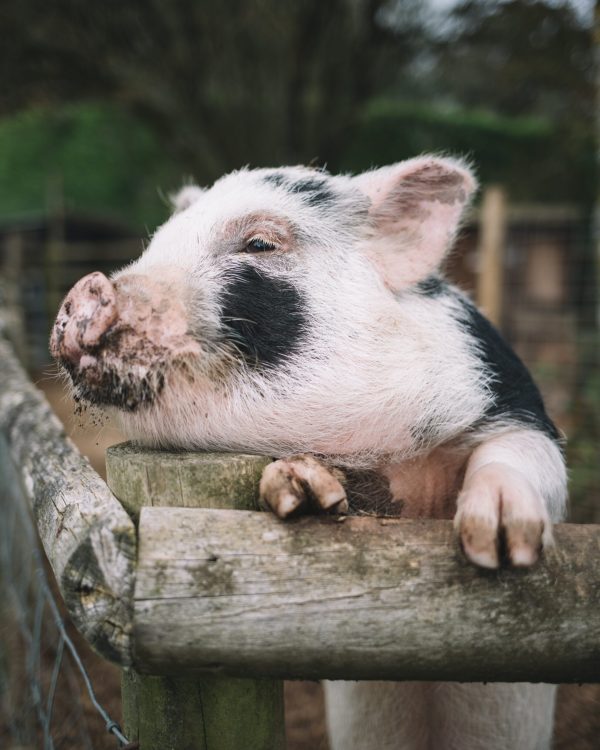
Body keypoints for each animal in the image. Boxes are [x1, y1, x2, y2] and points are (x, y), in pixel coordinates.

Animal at [50, 156, 567, 750]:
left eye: (259, 243)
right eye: (158, 241)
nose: (87, 287)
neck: (391, 459)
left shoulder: (515, 404)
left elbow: (524, 454)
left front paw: (498, 544)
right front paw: (302, 490)